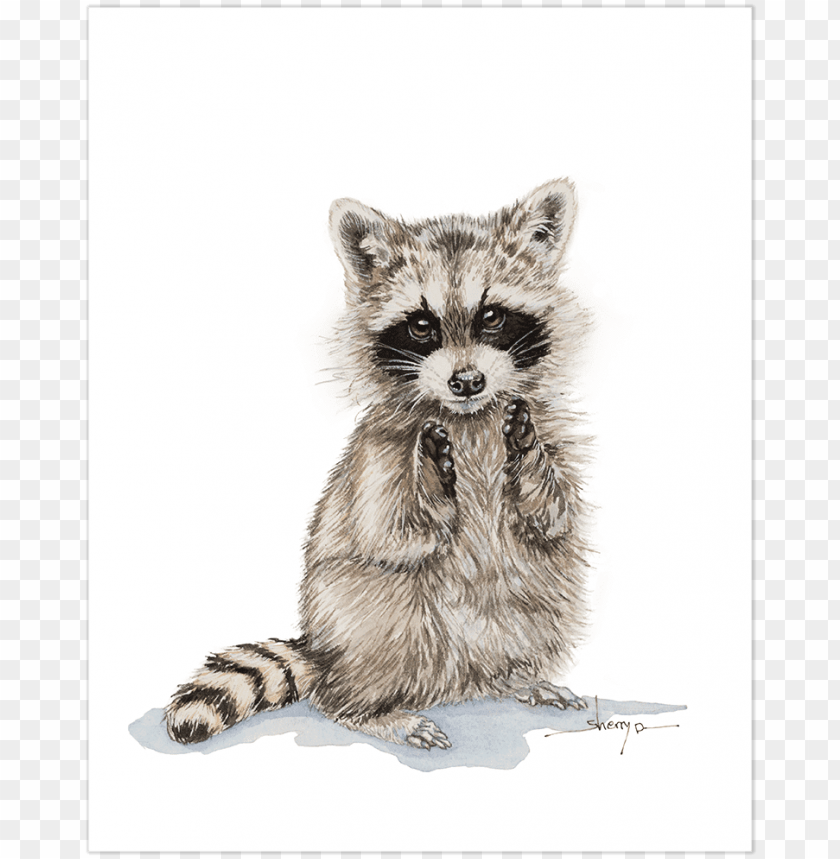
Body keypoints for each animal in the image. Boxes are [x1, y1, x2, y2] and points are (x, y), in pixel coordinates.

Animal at [165, 179, 591, 750]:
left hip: (529, 606)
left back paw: (513, 676)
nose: (466, 381)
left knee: (537, 594)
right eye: (421, 325)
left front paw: (529, 460)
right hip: (359, 616)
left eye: (493, 316)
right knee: (379, 613)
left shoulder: (547, 426)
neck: (468, 418)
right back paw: (367, 709)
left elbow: (554, 518)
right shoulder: (380, 454)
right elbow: (390, 534)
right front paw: (431, 484)